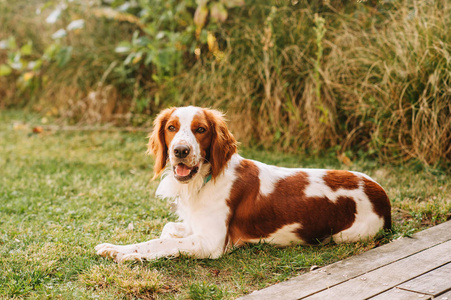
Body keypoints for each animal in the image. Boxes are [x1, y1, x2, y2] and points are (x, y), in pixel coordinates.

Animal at [95, 106, 392, 262]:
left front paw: (120, 252)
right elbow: (167, 231)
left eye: (200, 130)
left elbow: (158, 243)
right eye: (171, 128)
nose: (180, 151)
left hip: (347, 235)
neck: (203, 181)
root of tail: (382, 195)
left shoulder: (211, 243)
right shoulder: (193, 227)